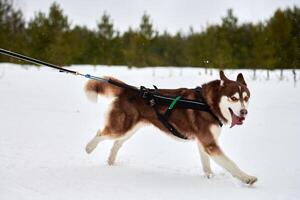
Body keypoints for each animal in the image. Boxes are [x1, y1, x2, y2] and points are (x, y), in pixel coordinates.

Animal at [85, 71, 258, 184]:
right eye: (234, 98)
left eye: (246, 98)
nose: (244, 112)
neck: (208, 104)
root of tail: (127, 89)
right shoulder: (209, 143)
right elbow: (231, 164)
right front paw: (247, 178)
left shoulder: (203, 142)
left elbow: (206, 164)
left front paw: (209, 177)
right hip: (121, 127)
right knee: (101, 133)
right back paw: (89, 147)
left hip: (130, 129)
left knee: (117, 143)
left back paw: (111, 162)